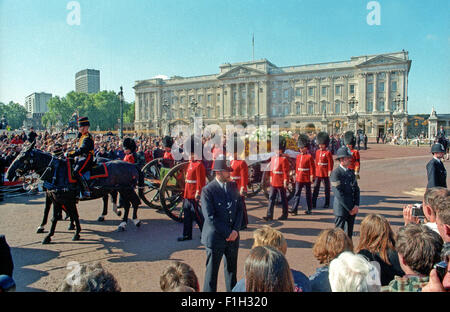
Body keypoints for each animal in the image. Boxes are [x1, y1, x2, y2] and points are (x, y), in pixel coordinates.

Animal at [7, 141, 144, 244]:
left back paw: (128, 221)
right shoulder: (55, 197)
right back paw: (122, 220)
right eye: (18, 155)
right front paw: (48, 232)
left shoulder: (66, 199)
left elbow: (70, 215)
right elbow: (52, 214)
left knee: (132, 202)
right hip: (121, 189)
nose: (8, 174)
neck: (56, 172)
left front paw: (74, 232)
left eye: (23, 157)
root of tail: (132, 165)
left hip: (126, 189)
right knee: (125, 203)